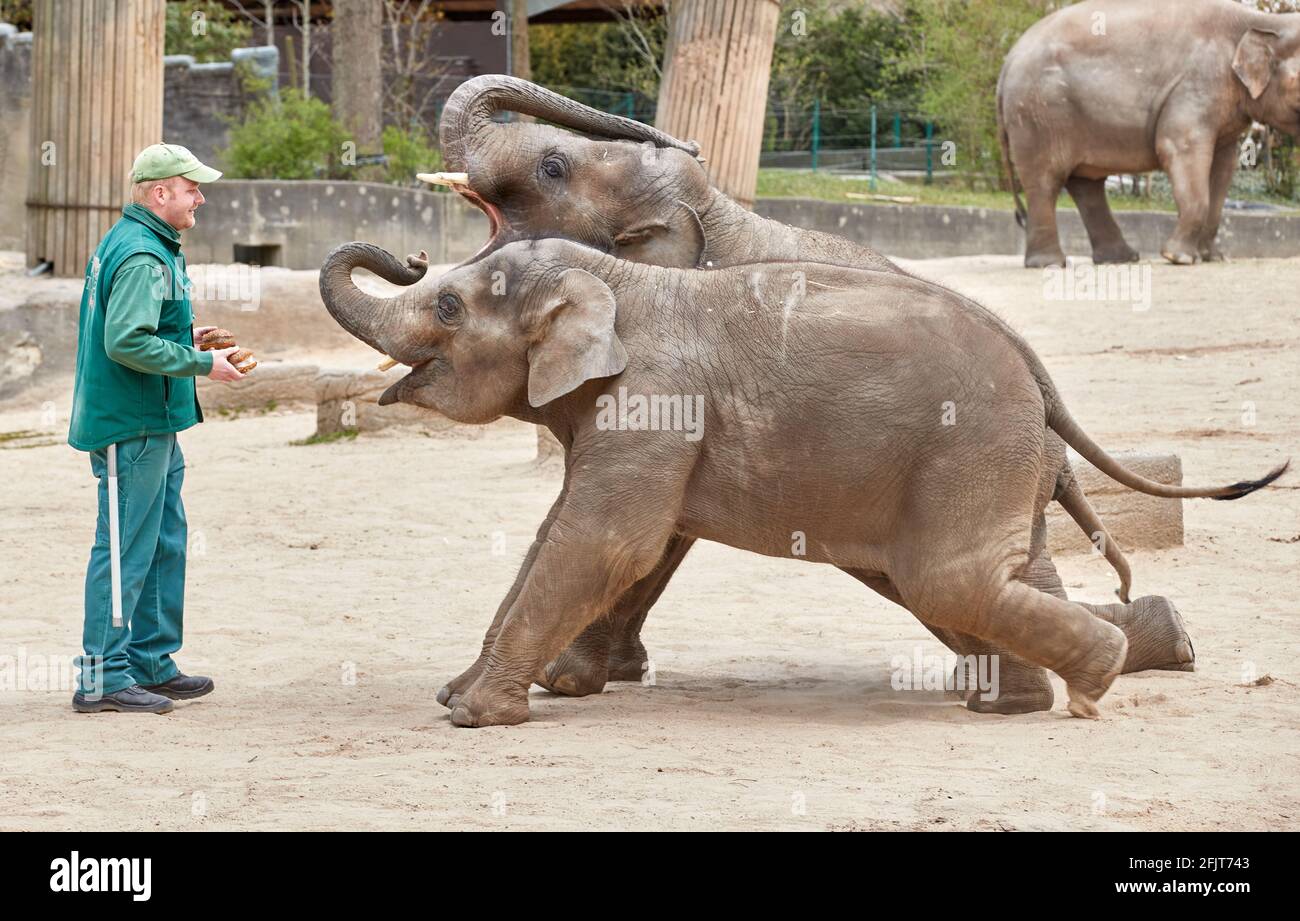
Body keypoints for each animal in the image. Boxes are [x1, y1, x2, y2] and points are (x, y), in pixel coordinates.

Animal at [319, 238, 1284, 728]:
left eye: (448, 306)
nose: (409, 256)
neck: (624, 279)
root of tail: (1038, 371)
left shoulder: (657, 402)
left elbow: (606, 538)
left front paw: (473, 714)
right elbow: (566, 531)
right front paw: (458, 692)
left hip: (967, 448)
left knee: (948, 579)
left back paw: (1089, 686)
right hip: (995, 457)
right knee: (997, 575)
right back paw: (1010, 701)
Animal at [379, 79, 1190, 712]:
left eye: (552, 167)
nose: (413, 257)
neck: (719, 210)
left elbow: (650, 534)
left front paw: (564, 680)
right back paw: (1141, 645)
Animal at [998, 0, 1294, 267]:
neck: (1259, 20)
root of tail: (1008, 61)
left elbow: (1224, 166)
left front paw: (1212, 258)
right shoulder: (1196, 84)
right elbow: (1179, 147)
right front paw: (1178, 258)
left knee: (1086, 184)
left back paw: (1120, 259)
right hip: (1039, 115)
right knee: (1045, 180)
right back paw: (1049, 264)